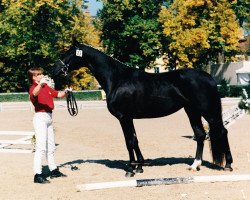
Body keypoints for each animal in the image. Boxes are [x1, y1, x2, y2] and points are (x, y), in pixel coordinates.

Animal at [52, 39, 232, 177]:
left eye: (69, 53)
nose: (55, 70)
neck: (117, 78)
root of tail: (209, 77)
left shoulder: (123, 117)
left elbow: (129, 141)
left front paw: (130, 169)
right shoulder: (129, 117)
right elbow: (135, 140)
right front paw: (139, 166)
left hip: (208, 111)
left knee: (222, 132)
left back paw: (228, 164)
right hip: (192, 111)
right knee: (200, 135)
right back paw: (195, 165)